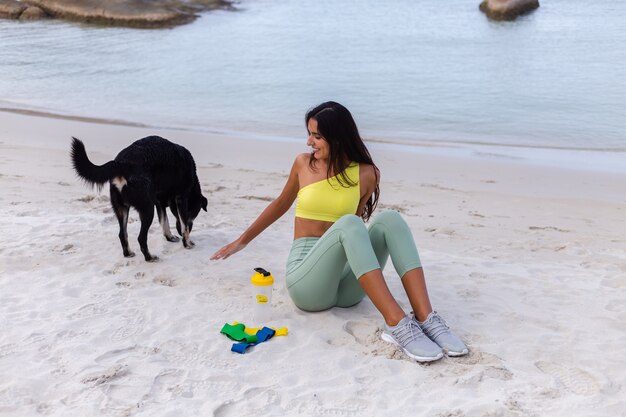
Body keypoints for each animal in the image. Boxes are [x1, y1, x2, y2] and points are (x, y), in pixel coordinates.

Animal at [70, 136, 207, 260]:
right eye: (194, 213)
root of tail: (122, 164)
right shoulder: (181, 199)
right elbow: (184, 226)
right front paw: (187, 243)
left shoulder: (159, 203)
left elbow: (165, 222)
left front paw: (170, 237)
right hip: (147, 209)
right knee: (141, 238)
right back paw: (149, 257)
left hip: (122, 208)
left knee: (122, 234)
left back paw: (128, 253)